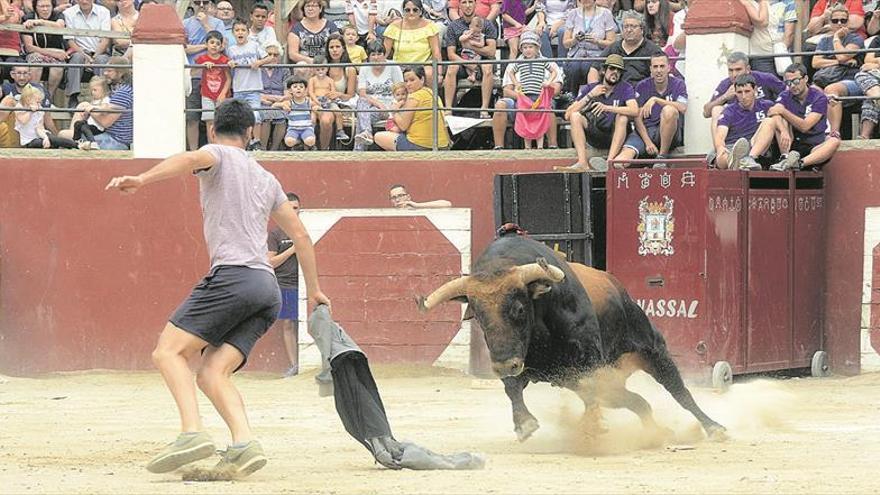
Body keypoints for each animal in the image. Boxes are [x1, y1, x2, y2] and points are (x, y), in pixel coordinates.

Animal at [416, 234, 724, 444]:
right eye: (478, 316)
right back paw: (657, 431)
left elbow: (594, 392)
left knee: (679, 391)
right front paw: (524, 425)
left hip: (651, 350)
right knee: (638, 402)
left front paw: (591, 428)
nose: (505, 365)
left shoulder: (589, 363)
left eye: (519, 309)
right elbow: (512, 387)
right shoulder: (520, 363)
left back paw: (714, 427)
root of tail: (617, 287)